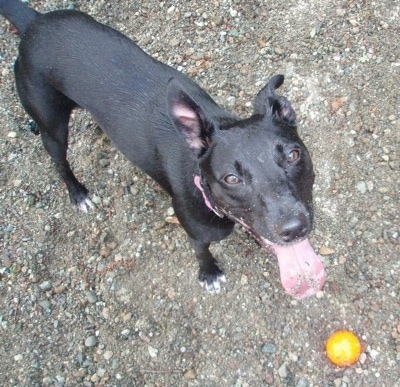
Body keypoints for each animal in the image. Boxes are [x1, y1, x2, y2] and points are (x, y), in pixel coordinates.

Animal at [0, 0, 324, 300]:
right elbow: (201, 251)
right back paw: (78, 193)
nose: (294, 228)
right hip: (51, 125)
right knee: (59, 160)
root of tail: (34, 22)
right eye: (232, 179)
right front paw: (209, 273)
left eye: (293, 155)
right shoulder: (195, 230)